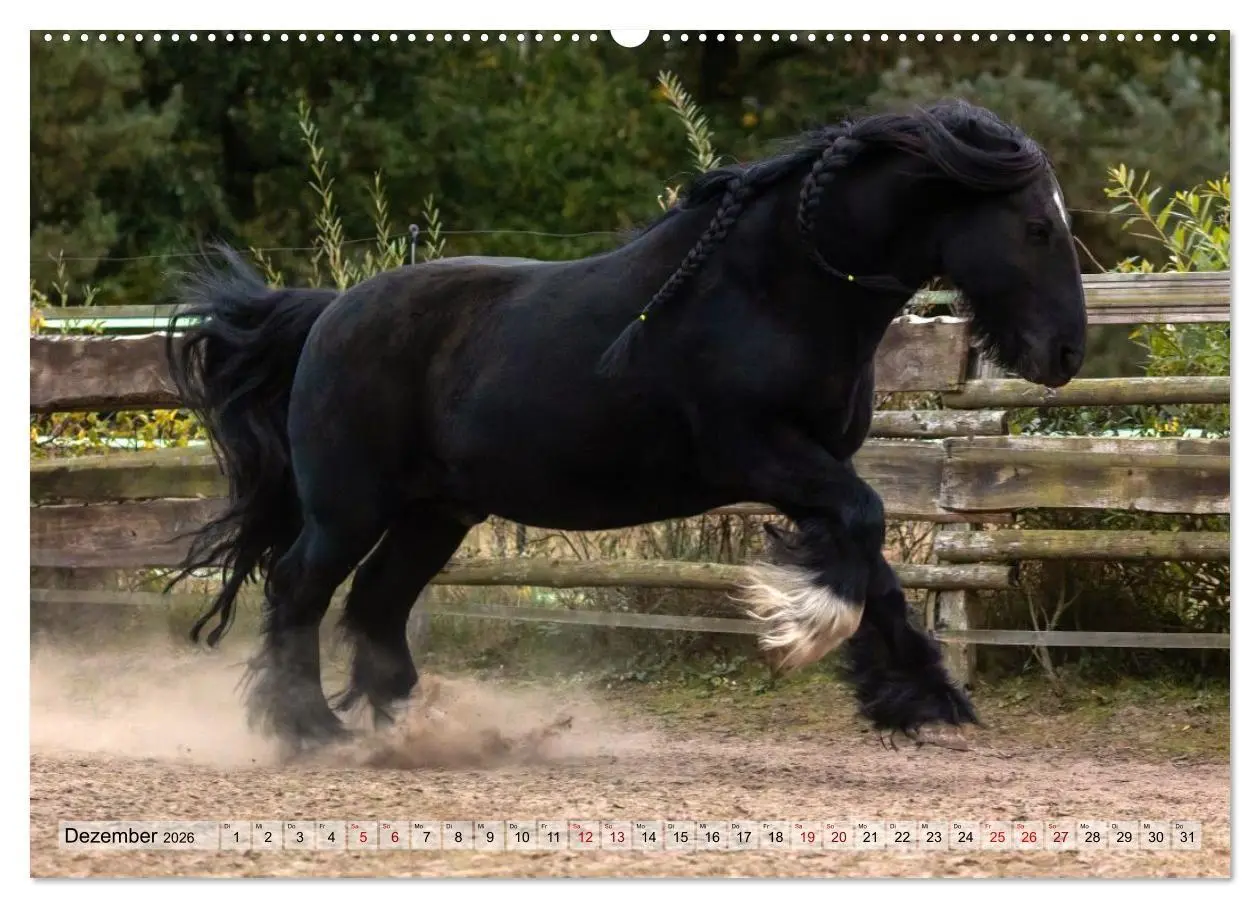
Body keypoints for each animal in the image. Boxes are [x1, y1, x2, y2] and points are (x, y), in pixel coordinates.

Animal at [167, 98, 1086, 753]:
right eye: (1036, 226)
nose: (1065, 352)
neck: (771, 289)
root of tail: (327, 314)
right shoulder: (761, 453)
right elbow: (864, 527)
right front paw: (800, 630)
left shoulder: (814, 467)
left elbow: (874, 562)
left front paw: (917, 696)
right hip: (349, 507)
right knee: (299, 588)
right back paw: (307, 730)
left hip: (437, 512)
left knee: (376, 602)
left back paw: (417, 728)